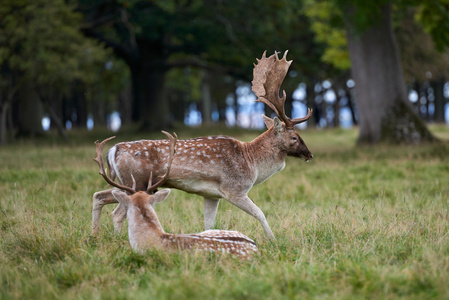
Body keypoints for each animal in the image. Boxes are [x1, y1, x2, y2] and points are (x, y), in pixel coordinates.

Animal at [92, 50, 312, 240]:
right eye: (294, 137)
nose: (309, 154)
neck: (252, 162)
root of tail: (113, 150)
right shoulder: (234, 189)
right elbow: (260, 213)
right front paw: (273, 240)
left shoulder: (211, 196)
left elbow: (209, 224)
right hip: (137, 182)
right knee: (117, 213)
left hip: (125, 183)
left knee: (98, 195)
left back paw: (94, 235)